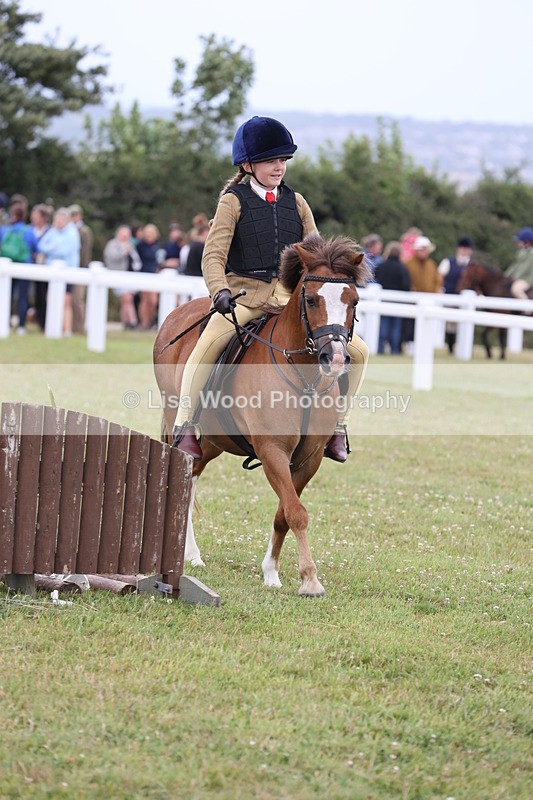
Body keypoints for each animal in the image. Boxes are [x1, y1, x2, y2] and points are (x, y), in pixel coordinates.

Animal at [153, 234, 371, 597]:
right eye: (310, 300)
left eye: (353, 301)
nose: (337, 357)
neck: (304, 376)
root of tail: (178, 312)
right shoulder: (273, 452)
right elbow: (296, 512)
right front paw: (310, 579)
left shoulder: (308, 458)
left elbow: (284, 513)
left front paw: (272, 572)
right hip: (177, 421)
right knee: (182, 471)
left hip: (212, 440)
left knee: (193, 475)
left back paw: (191, 554)